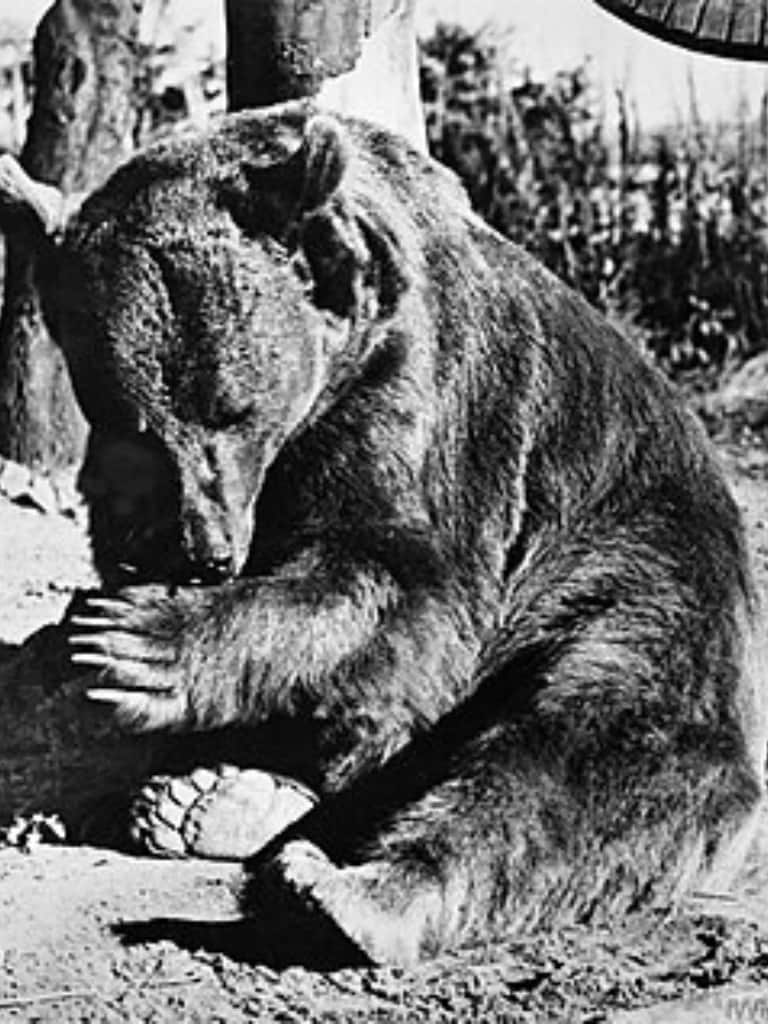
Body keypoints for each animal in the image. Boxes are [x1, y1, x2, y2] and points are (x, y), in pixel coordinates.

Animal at [14, 99, 768, 965]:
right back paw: (208, 801)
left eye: (233, 406)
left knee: (589, 749)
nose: (207, 553)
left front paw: (132, 642)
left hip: (635, 576)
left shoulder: (429, 401)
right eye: (130, 420)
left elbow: (396, 579)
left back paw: (341, 893)